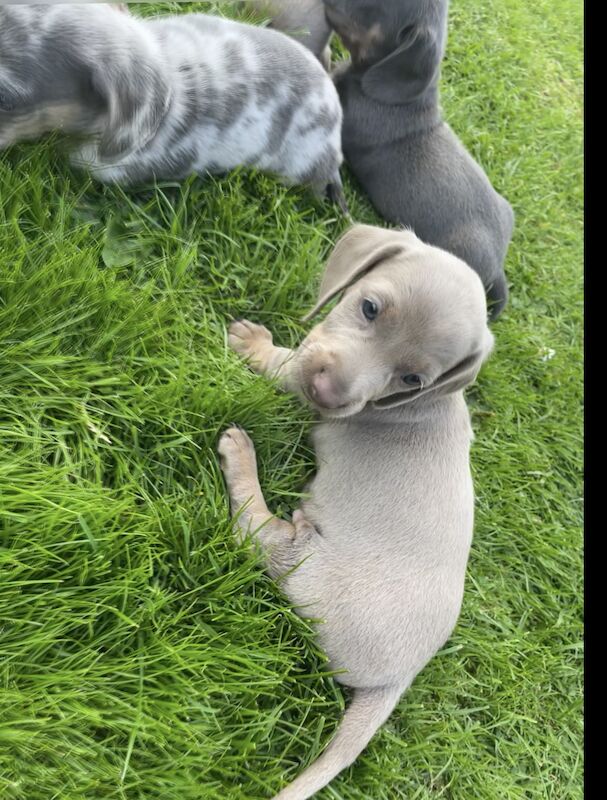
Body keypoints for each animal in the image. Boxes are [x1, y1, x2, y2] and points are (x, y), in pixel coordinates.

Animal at [218, 225, 494, 800]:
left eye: (413, 379)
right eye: (369, 308)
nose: (326, 393)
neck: (426, 404)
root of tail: (399, 679)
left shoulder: (295, 374)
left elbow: (280, 362)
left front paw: (253, 344)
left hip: (305, 559)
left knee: (255, 532)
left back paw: (242, 457)